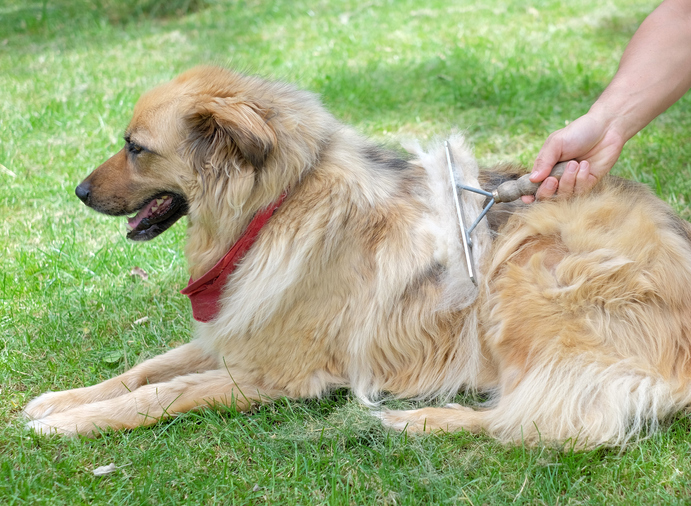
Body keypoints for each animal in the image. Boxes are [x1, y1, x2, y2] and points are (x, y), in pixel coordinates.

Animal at [24, 66, 691, 446]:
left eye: (135, 148)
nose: (77, 191)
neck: (276, 209)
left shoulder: (279, 375)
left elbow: (167, 392)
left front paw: (68, 424)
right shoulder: (238, 330)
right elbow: (145, 369)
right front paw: (63, 400)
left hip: (526, 271)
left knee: (559, 419)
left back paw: (421, 420)